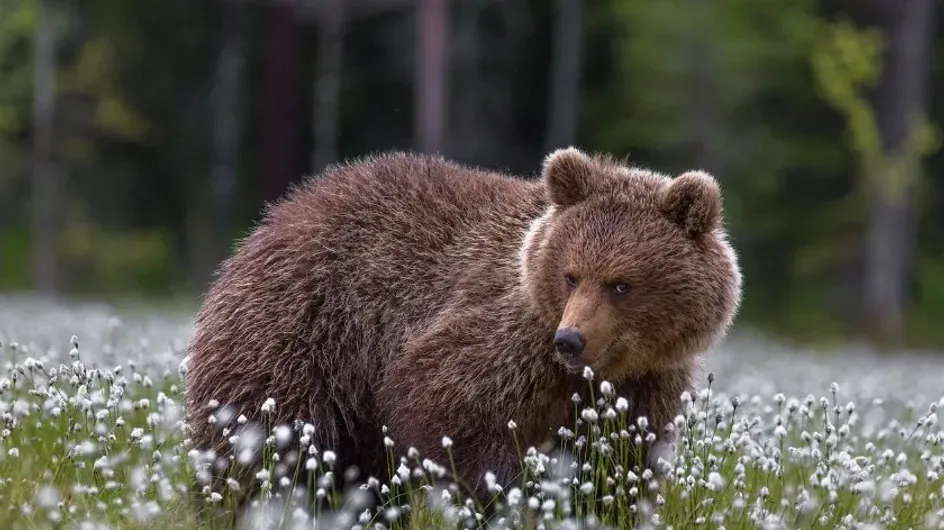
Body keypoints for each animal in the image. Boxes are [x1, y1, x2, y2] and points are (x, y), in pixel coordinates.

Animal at [184, 145, 740, 516]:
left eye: (621, 284)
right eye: (571, 274)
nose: (570, 340)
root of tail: (270, 220)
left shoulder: (644, 383)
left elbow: (620, 462)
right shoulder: (505, 336)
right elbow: (446, 400)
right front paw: (508, 492)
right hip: (302, 334)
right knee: (264, 440)